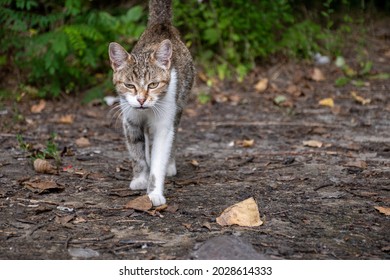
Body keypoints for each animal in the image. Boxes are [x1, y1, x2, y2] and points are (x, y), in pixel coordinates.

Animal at [107, 0, 194, 206]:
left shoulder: (164, 124)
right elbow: (136, 151)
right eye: (129, 85)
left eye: (153, 84)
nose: (141, 99)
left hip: (179, 105)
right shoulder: (130, 120)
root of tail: (161, 24)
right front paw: (140, 178)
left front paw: (154, 193)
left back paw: (170, 164)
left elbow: (159, 158)